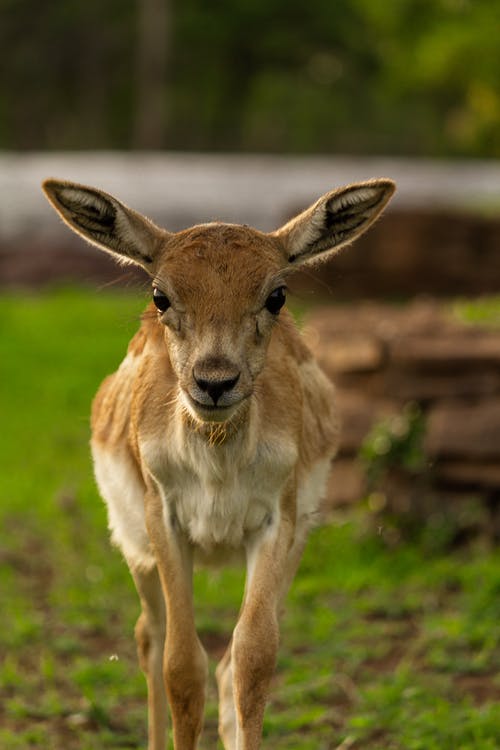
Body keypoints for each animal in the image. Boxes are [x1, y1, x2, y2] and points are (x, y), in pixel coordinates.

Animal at [43, 173, 394, 748]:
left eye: (276, 295)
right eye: (160, 294)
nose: (214, 380)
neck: (216, 473)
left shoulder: (280, 520)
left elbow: (253, 658)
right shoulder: (161, 514)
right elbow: (182, 667)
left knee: (226, 660)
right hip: (132, 544)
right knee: (149, 637)